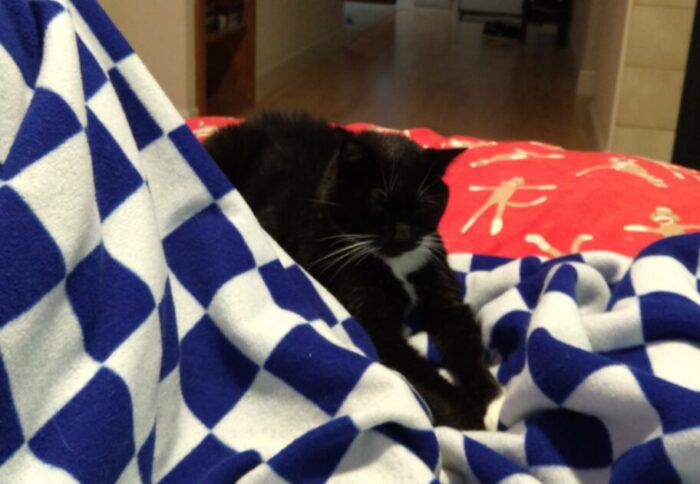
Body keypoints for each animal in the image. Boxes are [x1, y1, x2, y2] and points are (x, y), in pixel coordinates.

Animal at [205, 112, 500, 428]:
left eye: (424, 203)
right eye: (378, 199)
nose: (403, 235)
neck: (395, 263)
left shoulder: (438, 277)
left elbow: (464, 339)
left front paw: (495, 402)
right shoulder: (371, 321)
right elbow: (416, 369)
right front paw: (468, 418)